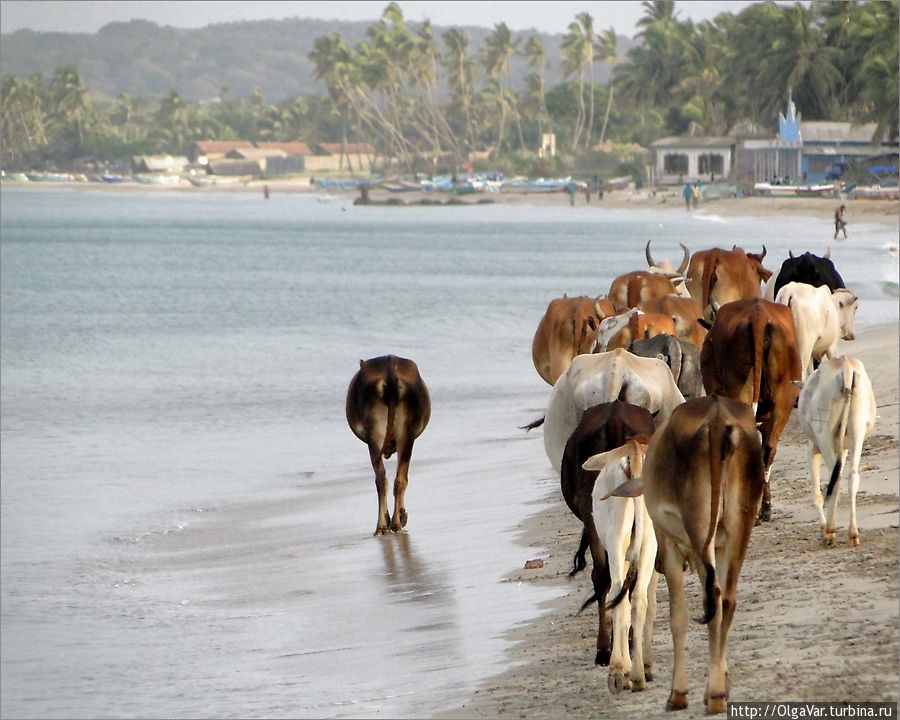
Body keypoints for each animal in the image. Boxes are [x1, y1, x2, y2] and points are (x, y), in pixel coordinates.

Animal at [346, 354, 430, 536]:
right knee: (397, 479)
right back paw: (394, 524)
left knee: (383, 478)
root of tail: (390, 372)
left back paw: (385, 525)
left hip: (377, 433)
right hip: (405, 434)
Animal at [580, 436, 656, 696]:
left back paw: (625, 673)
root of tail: (634, 451)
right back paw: (630, 673)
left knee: (625, 595)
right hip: (639, 542)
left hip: (623, 541)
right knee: (630, 597)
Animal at [800, 358, 876, 548]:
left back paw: (830, 530)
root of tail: (846, 365)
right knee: (852, 476)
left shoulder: (813, 448)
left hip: (824, 438)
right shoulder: (844, 448)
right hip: (857, 433)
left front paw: (823, 529)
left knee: (836, 480)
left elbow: (816, 492)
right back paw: (853, 534)